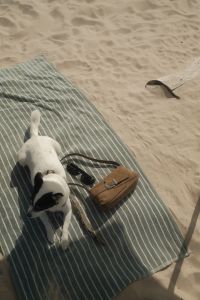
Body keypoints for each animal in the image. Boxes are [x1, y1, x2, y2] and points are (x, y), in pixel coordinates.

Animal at [17, 110, 71, 251]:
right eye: (30, 200)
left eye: (40, 205)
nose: (28, 215)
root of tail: (35, 137)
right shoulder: (40, 213)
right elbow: (47, 222)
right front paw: (51, 235)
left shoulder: (68, 210)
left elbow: (66, 225)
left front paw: (64, 240)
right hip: (21, 159)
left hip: (58, 147)